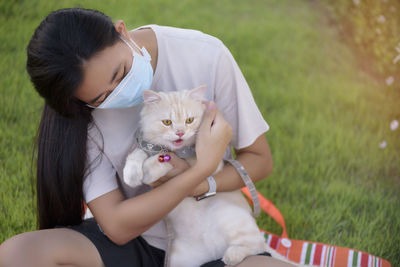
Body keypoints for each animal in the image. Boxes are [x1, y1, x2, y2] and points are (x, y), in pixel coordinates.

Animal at [123, 86, 268, 267]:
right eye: (167, 122)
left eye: (189, 120)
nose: (180, 133)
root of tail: (212, 253)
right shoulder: (148, 146)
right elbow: (137, 154)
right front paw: (132, 175)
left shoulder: (208, 163)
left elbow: (166, 161)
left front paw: (150, 171)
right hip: (178, 259)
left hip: (229, 218)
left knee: (258, 245)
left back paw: (231, 256)